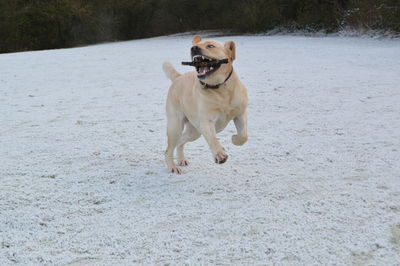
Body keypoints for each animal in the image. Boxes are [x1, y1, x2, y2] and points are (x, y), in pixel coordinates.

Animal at [162, 34, 247, 172]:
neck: (220, 89)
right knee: (168, 149)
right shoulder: (206, 122)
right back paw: (173, 167)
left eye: (210, 46)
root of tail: (179, 77)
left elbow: (244, 135)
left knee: (180, 142)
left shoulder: (241, 114)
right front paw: (219, 154)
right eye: (194, 46)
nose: (193, 48)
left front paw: (235, 139)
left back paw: (182, 159)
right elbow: (213, 139)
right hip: (176, 126)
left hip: (194, 132)